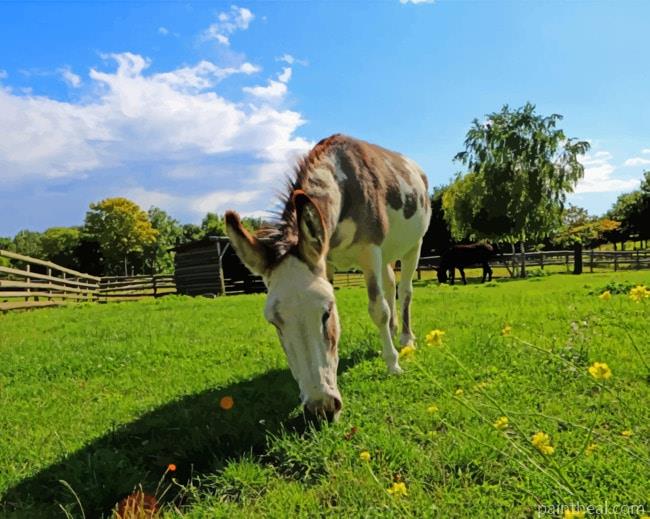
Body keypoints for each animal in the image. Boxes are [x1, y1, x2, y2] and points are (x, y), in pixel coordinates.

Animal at [225, 134, 431, 420]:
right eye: (275, 323)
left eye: (326, 313)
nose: (320, 410)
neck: (344, 184)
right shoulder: (328, 261)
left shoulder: (370, 251)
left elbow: (378, 310)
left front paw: (393, 364)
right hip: (388, 253)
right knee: (391, 285)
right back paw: (392, 331)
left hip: (414, 245)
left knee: (406, 291)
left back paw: (406, 339)